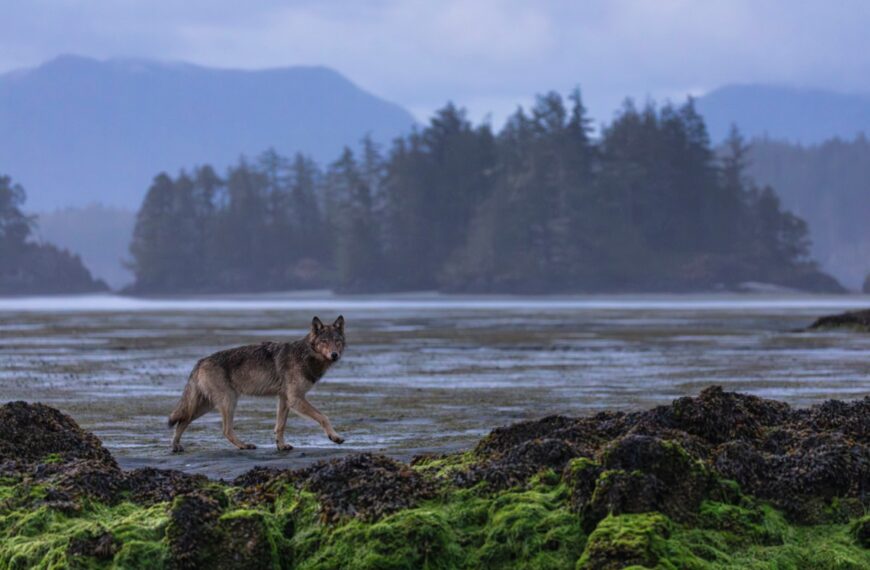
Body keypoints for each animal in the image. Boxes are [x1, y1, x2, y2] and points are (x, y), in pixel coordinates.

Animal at [168, 315, 346, 452]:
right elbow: (323, 416)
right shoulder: (296, 399)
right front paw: (335, 437)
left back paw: (175, 446)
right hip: (228, 401)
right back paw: (244, 445)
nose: (334, 355)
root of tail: (201, 361)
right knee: (225, 430)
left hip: (207, 405)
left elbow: (280, 426)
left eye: (337, 341)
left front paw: (281, 446)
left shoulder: (284, 399)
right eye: (324, 341)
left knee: (183, 421)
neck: (306, 355)